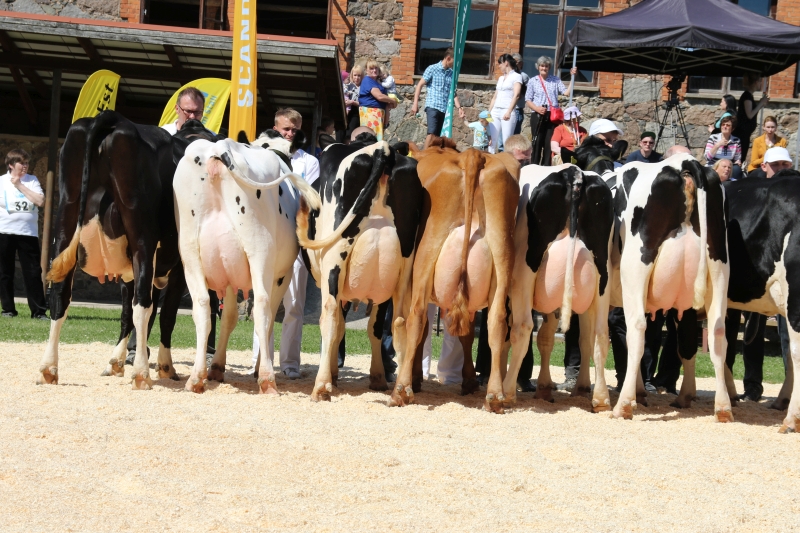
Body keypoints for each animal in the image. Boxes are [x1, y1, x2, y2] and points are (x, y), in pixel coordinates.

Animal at [39, 111, 200, 389]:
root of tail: (111, 117)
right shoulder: (178, 265)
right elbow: (165, 314)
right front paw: (165, 367)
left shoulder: (129, 266)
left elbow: (126, 313)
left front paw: (116, 361)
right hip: (142, 236)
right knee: (143, 303)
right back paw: (142, 374)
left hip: (66, 223)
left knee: (59, 297)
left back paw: (49, 369)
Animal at [173, 134, 321, 393]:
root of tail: (219, 147)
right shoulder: (281, 275)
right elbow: (267, 319)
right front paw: (260, 367)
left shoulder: (229, 273)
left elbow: (229, 316)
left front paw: (217, 367)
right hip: (259, 248)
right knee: (261, 305)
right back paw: (267, 379)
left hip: (189, 252)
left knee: (201, 305)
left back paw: (196, 377)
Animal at [295, 137, 422, 400]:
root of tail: (382, 149)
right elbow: (374, 328)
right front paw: (377, 378)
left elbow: (340, 326)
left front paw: (333, 375)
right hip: (405, 265)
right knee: (398, 321)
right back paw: (401, 389)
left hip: (334, 258)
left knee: (330, 315)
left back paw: (321, 386)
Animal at [388, 138, 520, 413]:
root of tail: (470, 156)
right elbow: (467, 334)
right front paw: (468, 381)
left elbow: (423, 331)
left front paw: (415, 378)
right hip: (503, 254)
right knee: (496, 321)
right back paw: (494, 396)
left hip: (426, 254)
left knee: (416, 317)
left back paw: (401, 390)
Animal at [502, 162, 615, 411]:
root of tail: (573, 173)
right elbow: (546, 338)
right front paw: (545, 387)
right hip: (602, 276)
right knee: (600, 334)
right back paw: (600, 398)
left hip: (525, 272)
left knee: (522, 327)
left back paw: (505, 392)